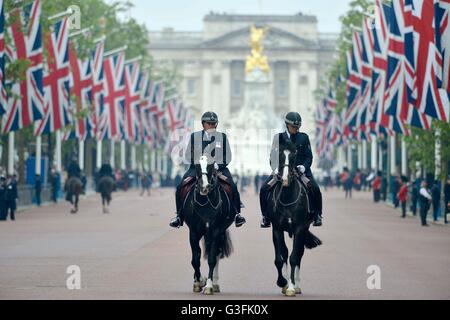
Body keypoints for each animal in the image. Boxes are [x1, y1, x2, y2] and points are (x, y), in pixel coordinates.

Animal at [182, 155, 234, 296]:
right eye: (197, 165)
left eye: (211, 166)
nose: (204, 187)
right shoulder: (193, 232)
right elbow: (195, 259)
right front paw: (199, 282)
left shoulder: (216, 231)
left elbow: (211, 259)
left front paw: (209, 285)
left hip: (218, 233)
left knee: (216, 254)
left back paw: (215, 284)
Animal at [266, 142, 322, 298]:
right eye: (279, 155)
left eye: (294, 155)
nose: (284, 179)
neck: (287, 197)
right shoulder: (277, 229)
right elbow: (280, 258)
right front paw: (283, 282)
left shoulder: (300, 228)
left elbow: (294, 257)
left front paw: (291, 287)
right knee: (286, 253)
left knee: (299, 254)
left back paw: (296, 285)